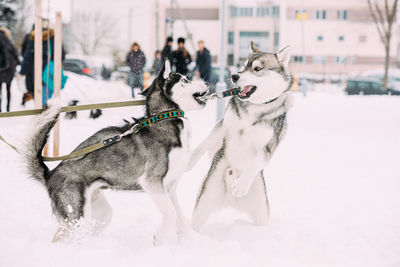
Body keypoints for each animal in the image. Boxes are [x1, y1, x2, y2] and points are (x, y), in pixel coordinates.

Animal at [21, 60, 208, 245]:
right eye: (185, 80)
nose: (207, 83)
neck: (164, 118)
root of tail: (50, 174)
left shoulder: (170, 186)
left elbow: (179, 216)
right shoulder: (152, 182)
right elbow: (171, 214)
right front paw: (160, 237)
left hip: (100, 212)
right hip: (76, 216)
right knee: (60, 238)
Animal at [188, 43, 294, 231]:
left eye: (257, 68)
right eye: (244, 66)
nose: (235, 75)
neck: (254, 109)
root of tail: (231, 202)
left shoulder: (268, 147)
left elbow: (256, 163)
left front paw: (242, 184)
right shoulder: (224, 125)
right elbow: (204, 143)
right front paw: (189, 160)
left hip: (262, 213)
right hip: (203, 205)